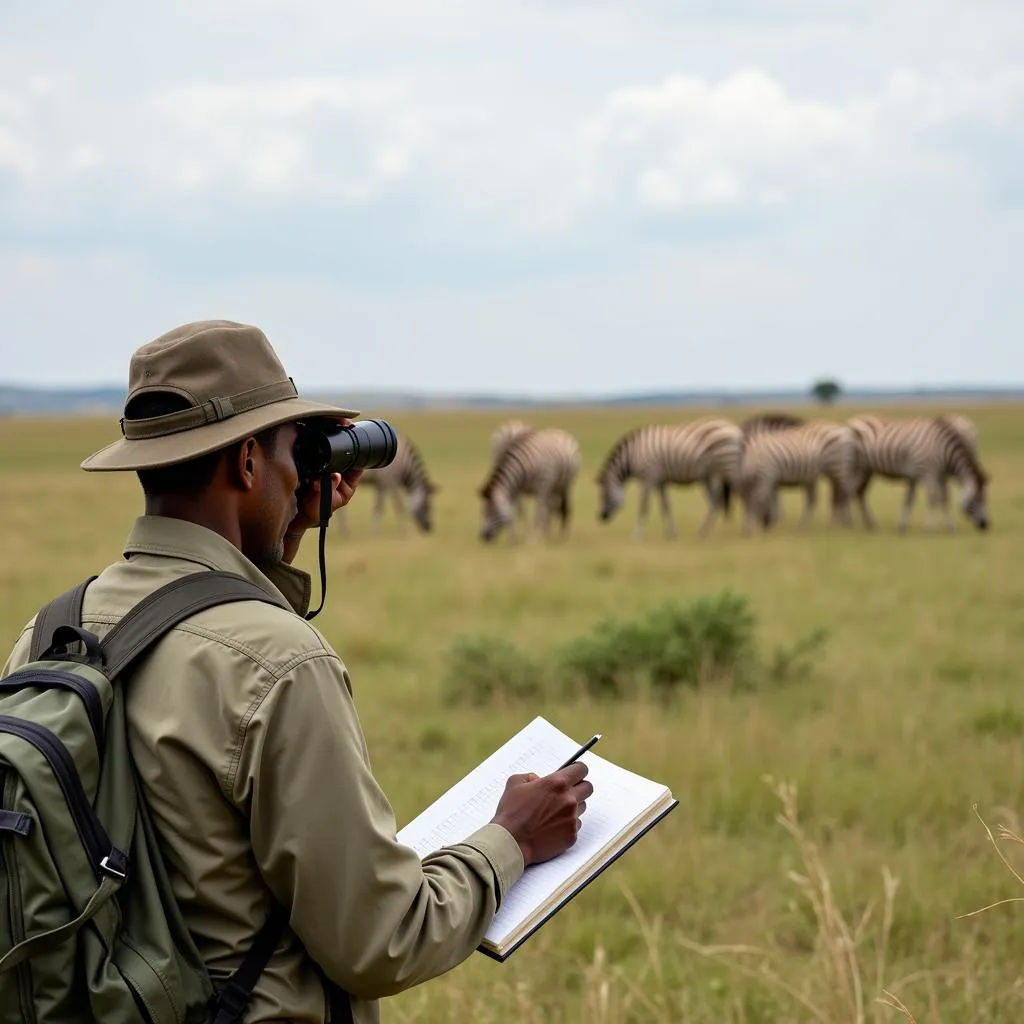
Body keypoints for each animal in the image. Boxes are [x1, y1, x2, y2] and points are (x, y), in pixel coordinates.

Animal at [593, 419, 745, 540]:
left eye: (604, 494)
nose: (601, 517)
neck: (632, 456)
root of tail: (733, 427)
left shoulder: (648, 479)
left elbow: (643, 508)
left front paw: (637, 536)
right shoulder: (661, 481)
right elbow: (666, 507)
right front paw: (671, 534)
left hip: (728, 467)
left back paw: (743, 530)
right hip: (710, 475)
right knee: (716, 502)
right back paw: (705, 532)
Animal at [843, 413, 987, 532]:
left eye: (985, 498)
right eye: (976, 499)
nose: (986, 525)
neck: (942, 450)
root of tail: (854, 419)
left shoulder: (937, 476)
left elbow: (941, 498)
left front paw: (950, 527)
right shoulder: (928, 472)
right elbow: (932, 498)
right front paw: (931, 528)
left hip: (867, 469)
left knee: (859, 492)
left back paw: (870, 524)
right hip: (857, 466)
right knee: (849, 490)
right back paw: (849, 522)